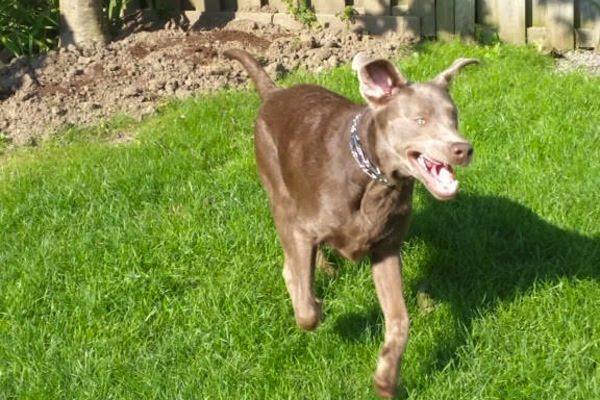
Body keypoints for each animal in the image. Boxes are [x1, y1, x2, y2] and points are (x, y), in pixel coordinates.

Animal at [224, 49, 478, 396]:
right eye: (420, 120)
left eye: (454, 116)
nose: (463, 149)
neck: (374, 178)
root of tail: (275, 93)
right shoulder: (303, 230)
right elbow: (305, 306)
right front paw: (316, 306)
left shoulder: (386, 249)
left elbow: (400, 320)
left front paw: (386, 377)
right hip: (279, 195)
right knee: (290, 266)